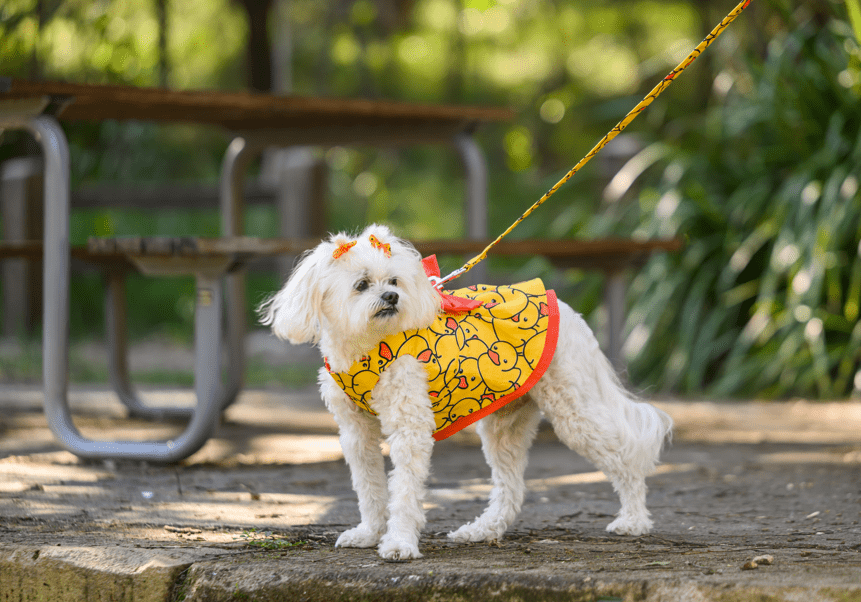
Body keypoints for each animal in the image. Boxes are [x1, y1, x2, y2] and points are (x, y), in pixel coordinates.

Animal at [256, 223, 672, 560]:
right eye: (361, 285)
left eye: (394, 282)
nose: (391, 298)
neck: (367, 343)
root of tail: (571, 313)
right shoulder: (356, 433)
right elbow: (369, 487)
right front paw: (369, 533)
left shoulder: (409, 426)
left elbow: (404, 489)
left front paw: (399, 543)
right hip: (505, 425)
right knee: (511, 489)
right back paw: (482, 530)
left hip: (575, 411)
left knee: (625, 462)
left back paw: (634, 520)